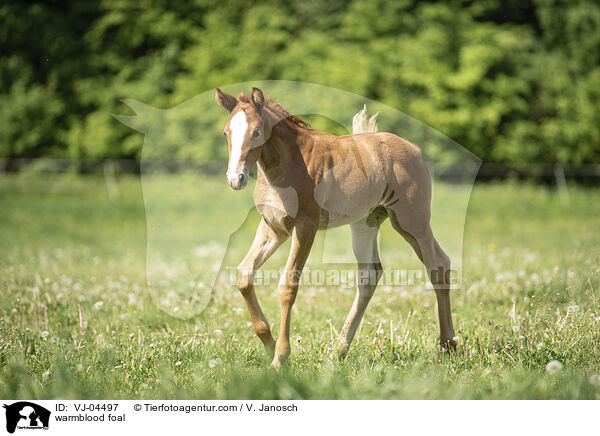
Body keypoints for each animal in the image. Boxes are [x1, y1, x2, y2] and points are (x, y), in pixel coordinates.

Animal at [216, 86, 454, 368]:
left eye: (256, 132)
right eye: (226, 133)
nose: (235, 179)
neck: (288, 165)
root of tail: (414, 150)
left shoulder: (305, 226)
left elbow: (288, 285)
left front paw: (280, 357)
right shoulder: (273, 227)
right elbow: (244, 274)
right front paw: (269, 344)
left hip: (412, 221)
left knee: (438, 264)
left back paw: (449, 346)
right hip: (365, 222)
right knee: (370, 275)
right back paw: (338, 352)